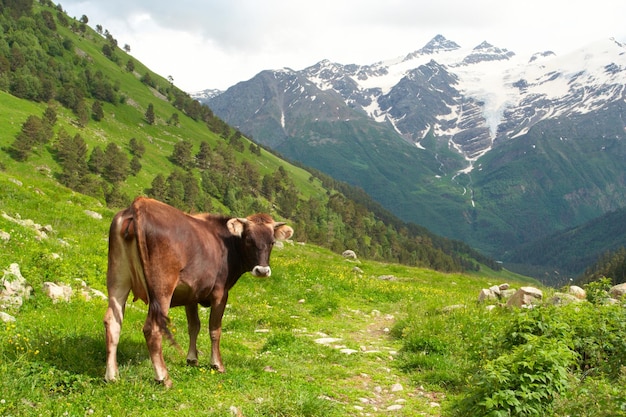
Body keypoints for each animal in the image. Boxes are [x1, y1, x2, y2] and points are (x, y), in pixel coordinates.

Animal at [103, 197, 294, 386]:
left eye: (271, 242)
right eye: (248, 239)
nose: (262, 270)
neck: (226, 245)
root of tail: (140, 204)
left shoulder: (191, 294)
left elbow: (194, 326)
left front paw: (192, 359)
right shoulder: (220, 293)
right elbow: (215, 329)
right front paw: (217, 364)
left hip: (118, 278)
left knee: (112, 321)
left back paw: (112, 375)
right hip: (162, 287)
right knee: (152, 328)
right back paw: (163, 377)